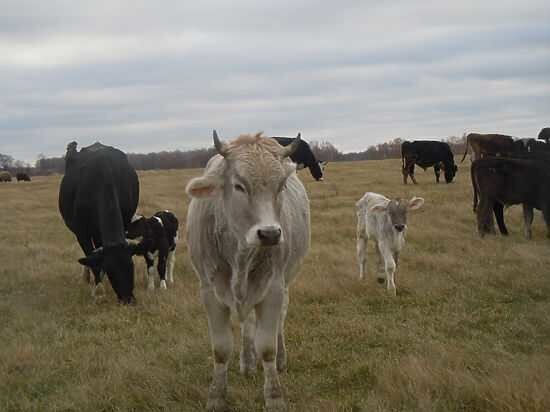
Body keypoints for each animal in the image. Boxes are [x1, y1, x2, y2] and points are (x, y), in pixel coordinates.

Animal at [57, 141, 140, 302]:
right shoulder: (81, 233)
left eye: (131, 266)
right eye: (111, 269)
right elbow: (93, 260)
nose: (128, 299)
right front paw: (99, 290)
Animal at [188, 130, 312, 410]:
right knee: (247, 325)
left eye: (281, 186)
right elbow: (221, 349)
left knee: (278, 323)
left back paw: (279, 360)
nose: (270, 234)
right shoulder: (209, 293)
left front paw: (274, 397)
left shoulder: (273, 289)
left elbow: (267, 346)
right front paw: (216, 396)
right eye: (239, 186)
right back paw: (247, 363)